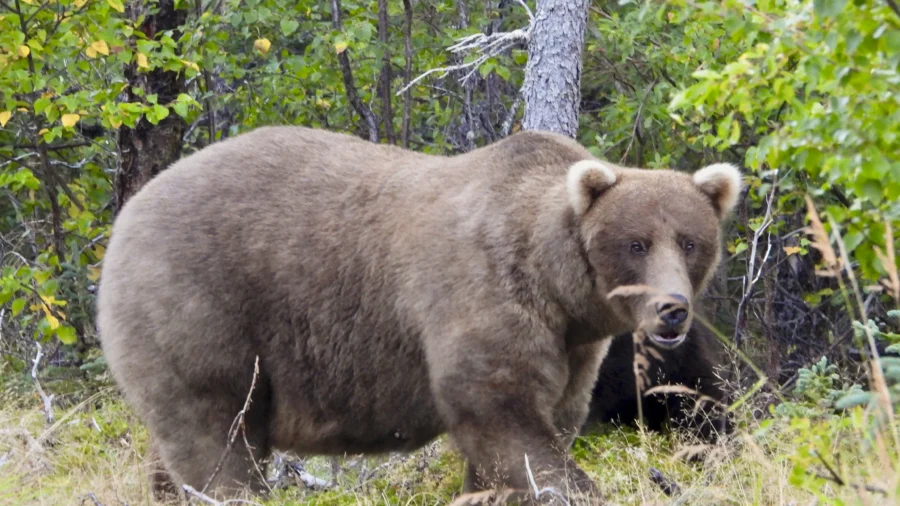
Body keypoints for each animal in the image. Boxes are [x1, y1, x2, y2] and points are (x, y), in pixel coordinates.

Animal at [96, 126, 740, 502]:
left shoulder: (574, 345)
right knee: (217, 436)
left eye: (689, 242)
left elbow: (549, 418)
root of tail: (129, 209)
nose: (672, 310)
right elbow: (503, 414)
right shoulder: (482, 292)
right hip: (202, 306)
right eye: (635, 243)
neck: (557, 285)